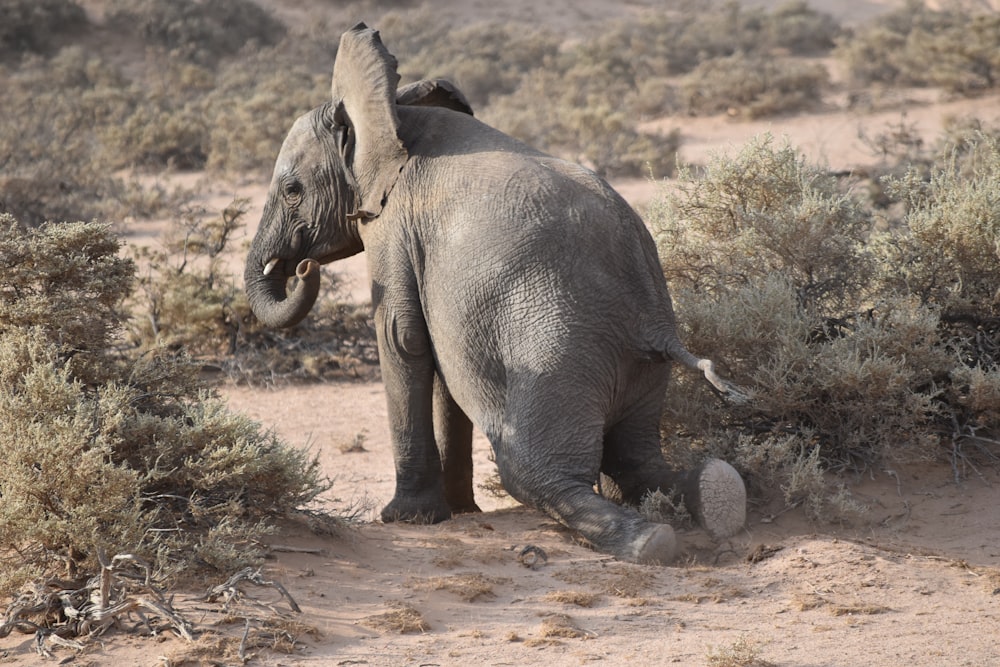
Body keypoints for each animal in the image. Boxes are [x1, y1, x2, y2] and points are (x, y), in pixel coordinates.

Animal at [242, 22, 744, 564]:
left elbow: (401, 339)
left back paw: (648, 542)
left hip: (561, 355)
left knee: (534, 471)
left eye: (292, 190)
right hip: (640, 371)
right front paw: (460, 511)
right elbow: (439, 363)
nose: (302, 267)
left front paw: (408, 518)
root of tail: (654, 329)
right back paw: (716, 495)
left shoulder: (393, 225)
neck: (395, 113)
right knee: (637, 461)